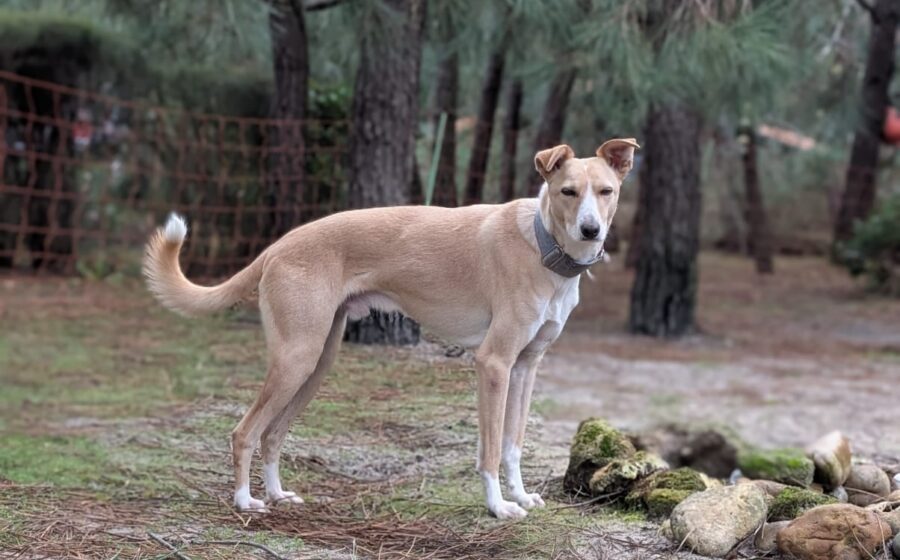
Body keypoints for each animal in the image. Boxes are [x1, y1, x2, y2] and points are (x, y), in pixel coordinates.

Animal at [143, 139, 639, 519]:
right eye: (568, 192)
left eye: (607, 191)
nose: (591, 231)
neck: (542, 246)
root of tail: (278, 246)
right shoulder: (494, 364)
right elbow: (490, 451)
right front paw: (498, 507)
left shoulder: (525, 367)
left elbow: (513, 444)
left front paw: (519, 497)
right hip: (296, 360)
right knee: (245, 432)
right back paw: (246, 501)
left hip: (316, 364)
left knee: (272, 433)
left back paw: (278, 494)